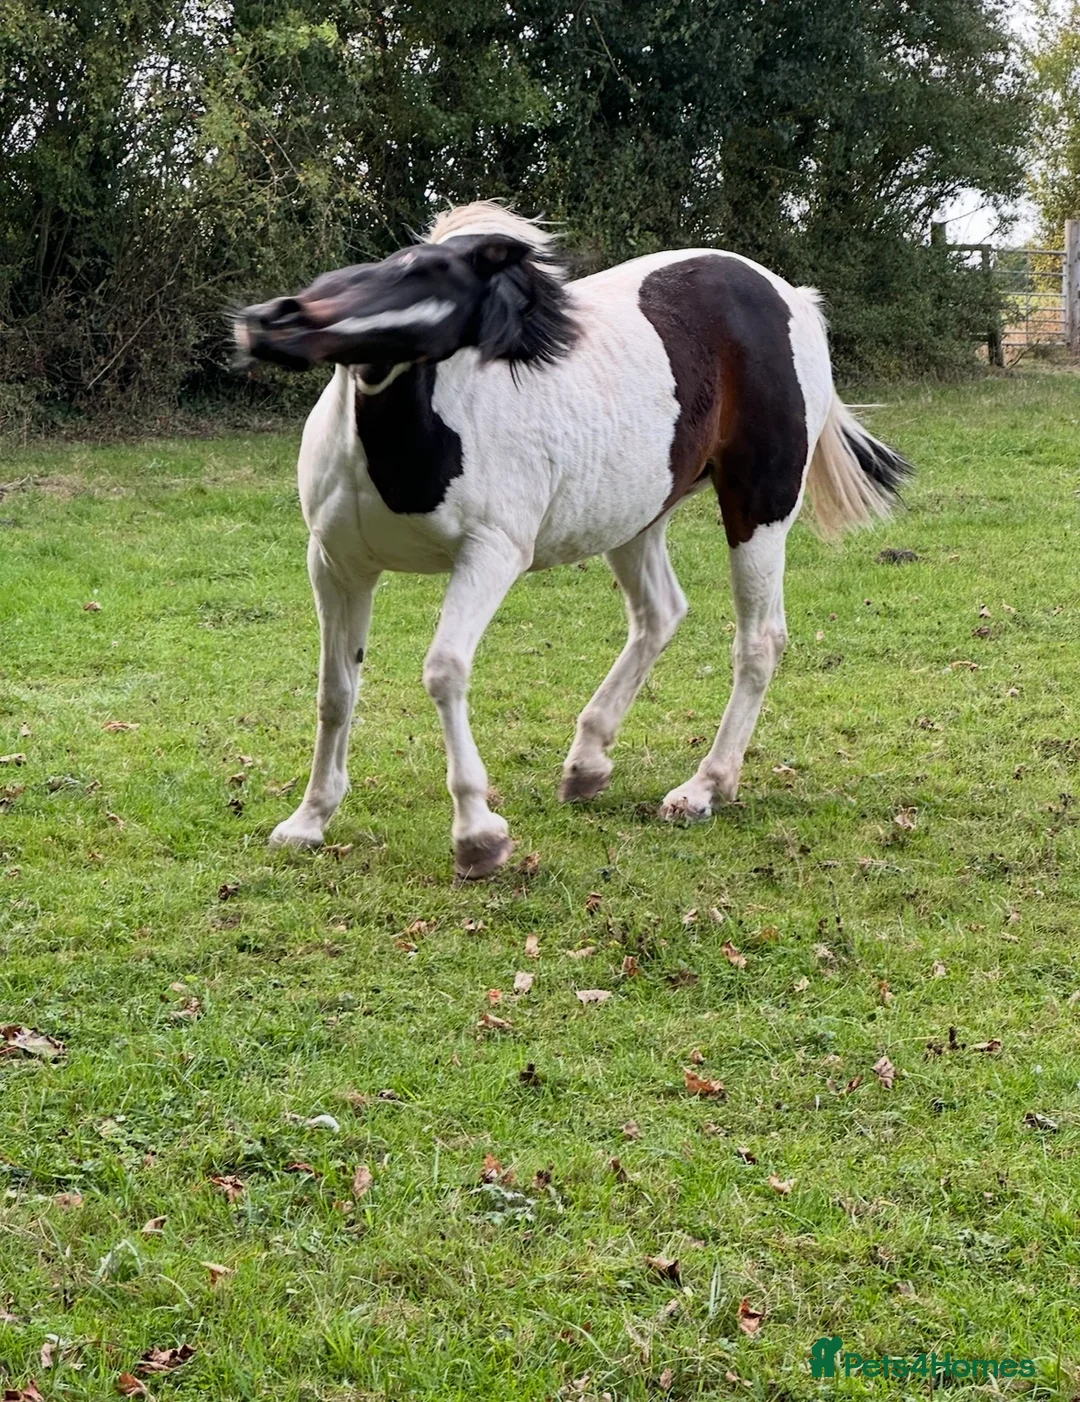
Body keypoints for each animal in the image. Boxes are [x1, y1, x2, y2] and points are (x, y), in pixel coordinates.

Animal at [234, 202, 910, 879]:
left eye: (427, 272)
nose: (270, 321)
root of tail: (790, 297)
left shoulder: (490, 554)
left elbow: (444, 671)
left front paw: (477, 835)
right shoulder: (336, 564)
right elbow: (335, 690)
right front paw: (308, 820)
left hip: (758, 510)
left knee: (759, 642)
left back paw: (704, 788)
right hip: (635, 518)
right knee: (660, 614)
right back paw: (588, 763)